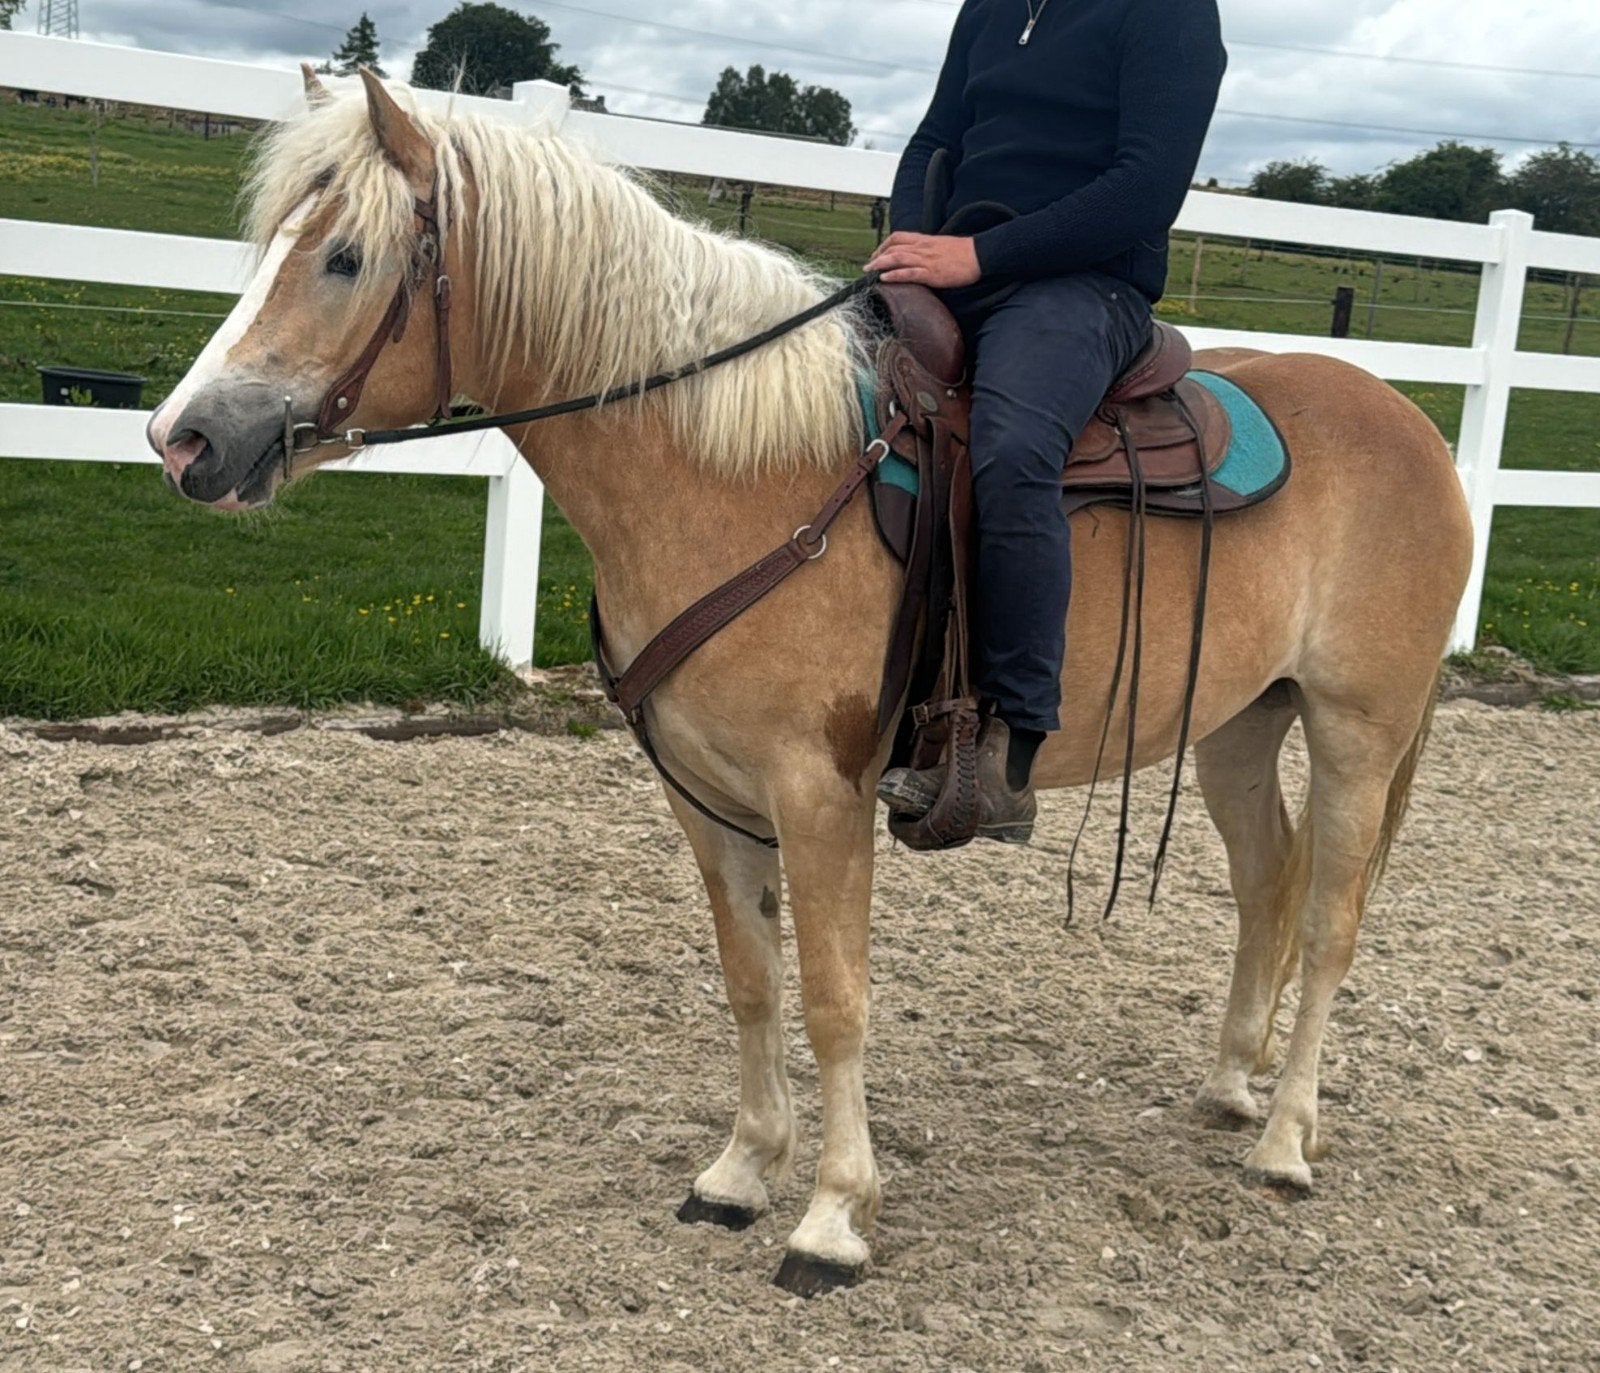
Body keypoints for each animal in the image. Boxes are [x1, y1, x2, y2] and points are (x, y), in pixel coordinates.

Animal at [146, 68, 1474, 1296]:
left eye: (346, 257)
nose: (184, 438)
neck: (733, 473)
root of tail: (1408, 420)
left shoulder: (820, 793)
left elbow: (835, 997)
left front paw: (834, 1215)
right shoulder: (705, 794)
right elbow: (750, 981)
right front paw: (740, 1171)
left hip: (1358, 728)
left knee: (1330, 915)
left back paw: (1287, 1137)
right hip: (1239, 725)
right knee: (1267, 882)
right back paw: (1233, 1083)